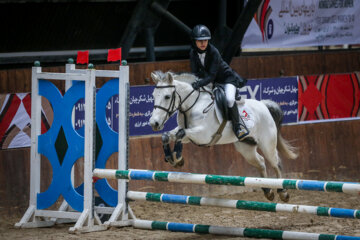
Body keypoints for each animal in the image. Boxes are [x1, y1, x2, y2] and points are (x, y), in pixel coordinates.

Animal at [148, 70, 296, 202]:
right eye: (154, 95)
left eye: (167, 96)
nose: (154, 123)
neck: (193, 105)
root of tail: (264, 105)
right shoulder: (188, 135)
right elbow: (167, 135)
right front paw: (171, 158)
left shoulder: (203, 134)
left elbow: (180, 133)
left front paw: (178, 158)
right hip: (246, 147)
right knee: (260, 162)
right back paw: (267, 191)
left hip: (267, 143)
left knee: (275, 163)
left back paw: (283, 192)